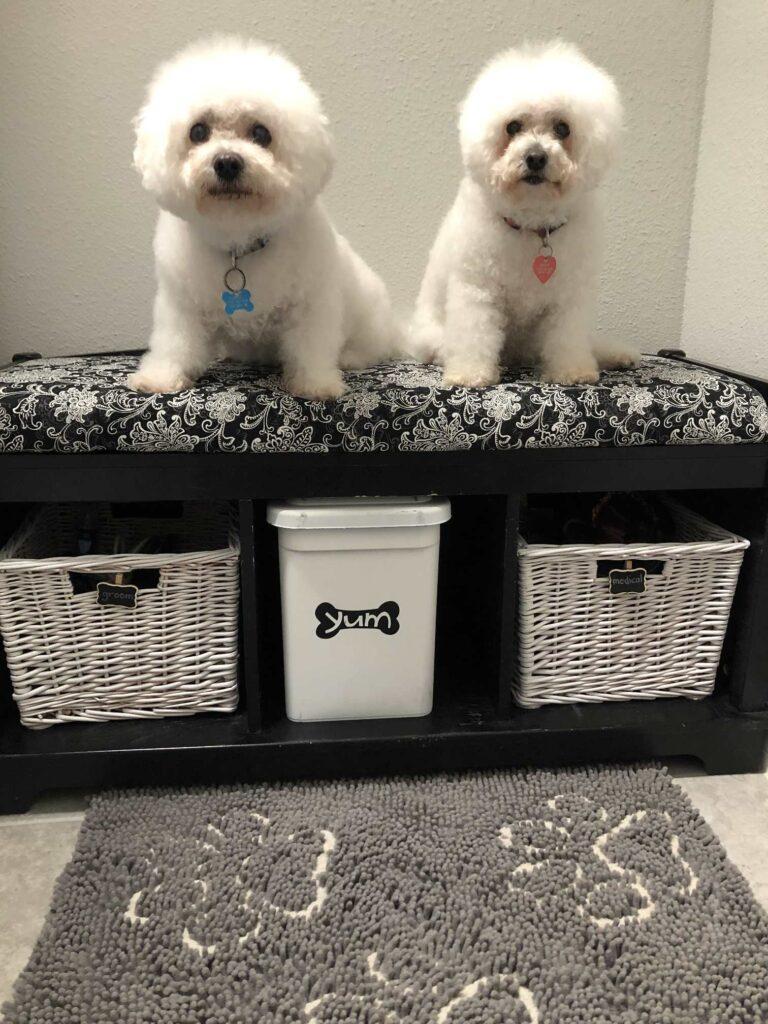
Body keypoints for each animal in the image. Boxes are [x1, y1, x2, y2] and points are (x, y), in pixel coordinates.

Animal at [128, 36, 397, 397]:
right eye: (197, 131)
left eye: (261, 133)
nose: (227, 162)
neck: (239, 242)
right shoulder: (181, 305)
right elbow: (175, 344)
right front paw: (160, 377)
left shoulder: (311, 304)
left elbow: (311, 347)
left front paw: (316, 384)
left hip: (368, 317)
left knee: (369, 347)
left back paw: (351, 357)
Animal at [411, 38, 638, 385]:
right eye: (513, 126)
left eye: (563, 128)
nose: (535, 157)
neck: (533, 225)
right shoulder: (477, 289)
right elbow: (474, 334)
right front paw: (470, 373)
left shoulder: (569, 297)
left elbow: (568, 337)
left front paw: (572, 370)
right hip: (434, 337)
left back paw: (615, 354)